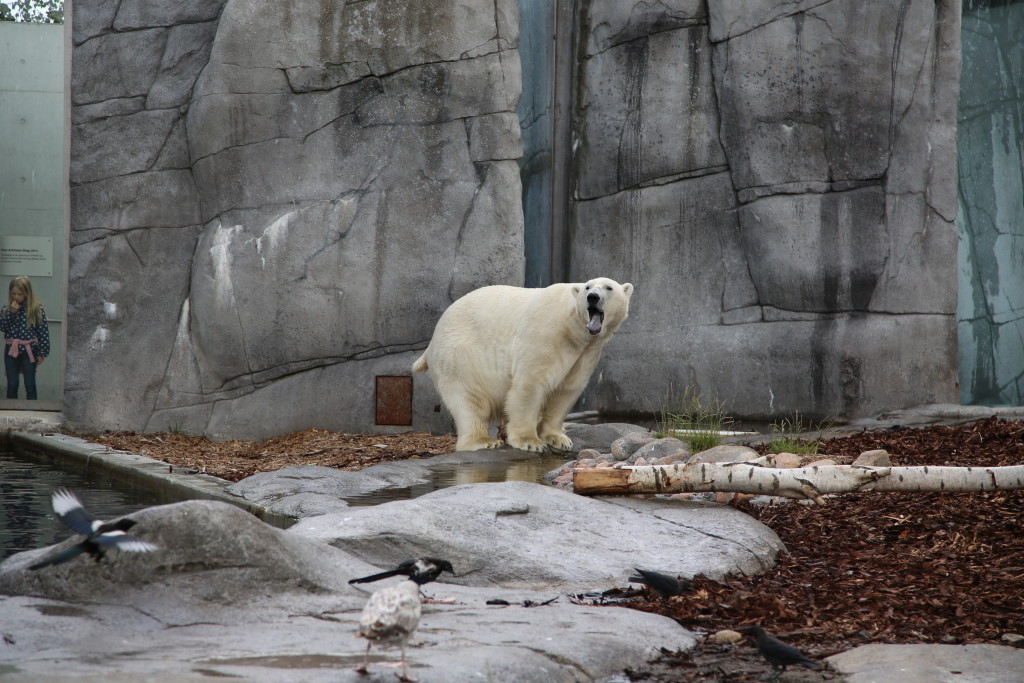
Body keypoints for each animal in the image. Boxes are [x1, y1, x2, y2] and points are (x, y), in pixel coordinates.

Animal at [411, 278, 634, 454]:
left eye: (608, 287)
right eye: (588, 287)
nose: (593, 297)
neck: (573, 329)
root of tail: (431, 342)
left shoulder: (587, 352)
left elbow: (566, 390)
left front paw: (560, 439)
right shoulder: (546, 334)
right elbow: (530, 385)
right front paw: (531, 442)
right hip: (460, 355)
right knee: (470, 398)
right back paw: (484, 441)